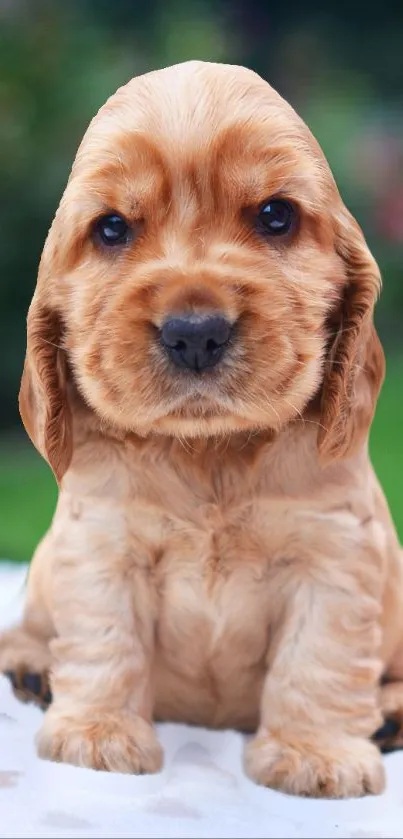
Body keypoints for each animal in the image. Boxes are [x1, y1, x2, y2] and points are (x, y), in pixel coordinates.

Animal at [0, 62, 403, 796]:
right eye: (111, 229)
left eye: (275, 215)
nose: (195, 333)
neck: (209, 451)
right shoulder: (102, 545)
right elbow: (106, 640)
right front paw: (96, 734)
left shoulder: (333, 555)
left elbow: (317, 657)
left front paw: (314, 754)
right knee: (27, 626)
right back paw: (35, 669)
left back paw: (388, 715)